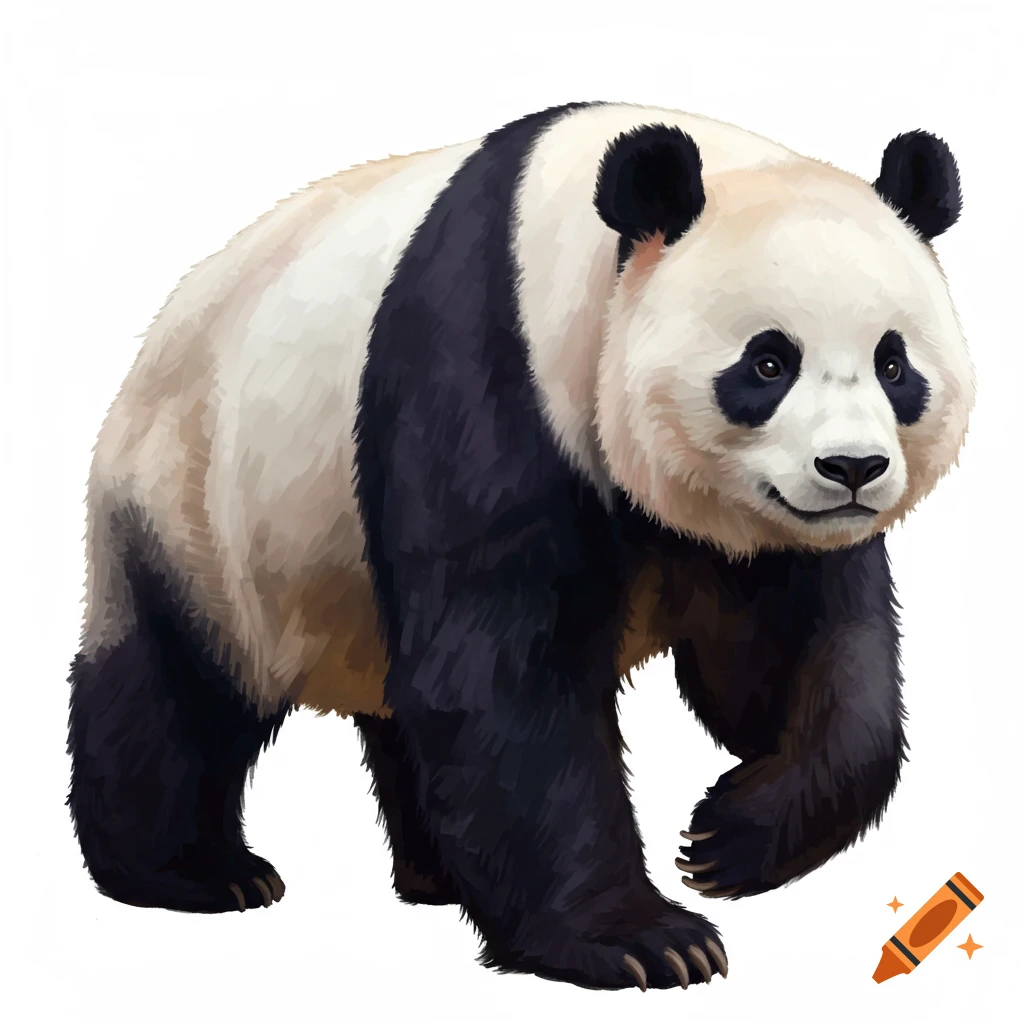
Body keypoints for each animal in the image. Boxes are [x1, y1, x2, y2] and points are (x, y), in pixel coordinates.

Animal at [67, 101, 973, 992]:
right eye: (768, 362)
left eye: (894, 365)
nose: (852, 468)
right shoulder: (488, 378)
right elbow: (503, 677)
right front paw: (646, 940)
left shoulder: (761, 535)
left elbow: (800, 660)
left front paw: (731, 837)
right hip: (201, 504)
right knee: (177, 686)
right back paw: (195, 872)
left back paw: (433, 875)